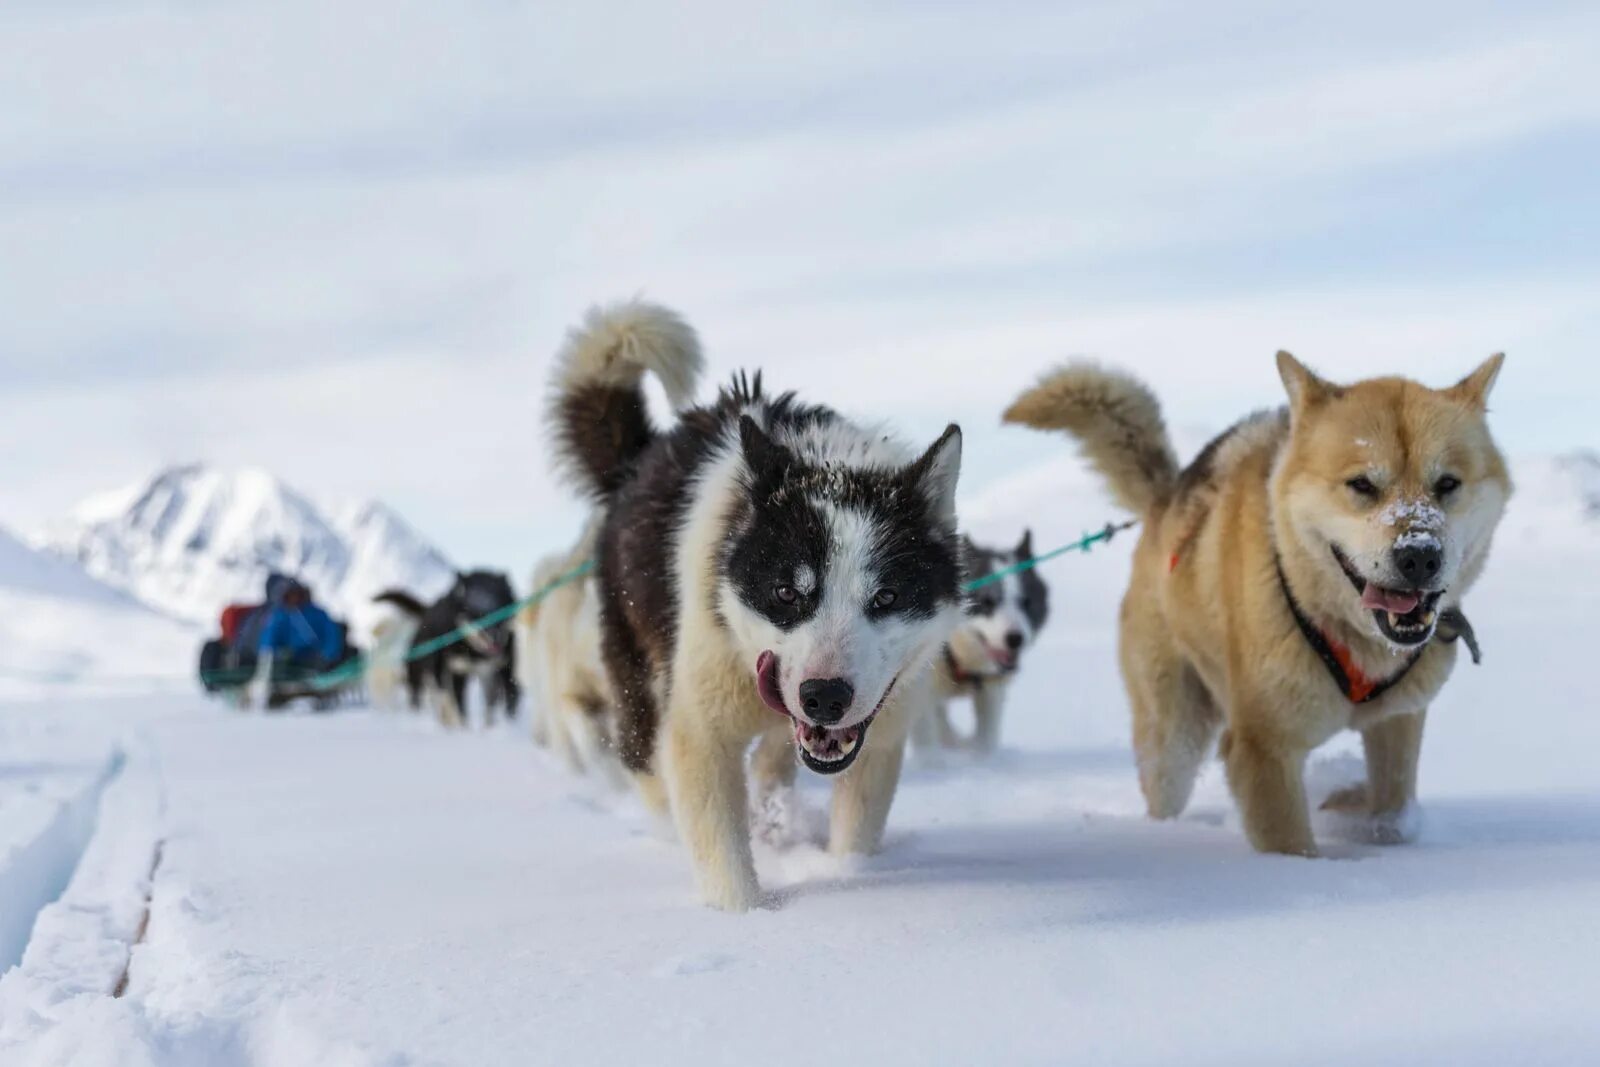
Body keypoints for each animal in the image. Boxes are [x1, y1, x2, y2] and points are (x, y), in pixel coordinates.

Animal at [372, 572, 518, 729]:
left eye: (500, 609)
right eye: (475, 615)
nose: (495, 638)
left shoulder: (490, 672)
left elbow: (490, 708)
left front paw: (489, 729)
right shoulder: (457, 671)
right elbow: (460, 709)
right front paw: (464, 730)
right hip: (427, 674)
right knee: (435, 697)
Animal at [553, 299, 960, 908]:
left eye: (886, 595)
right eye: (786, 592)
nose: (824, 697)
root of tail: (638, 462)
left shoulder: (881, 733)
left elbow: (855, 832)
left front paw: (851, 877)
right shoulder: (701, 732)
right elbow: (723, 859)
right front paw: (747, 918)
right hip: (638, 685)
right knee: (646, 764)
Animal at [1004, 355, 1504, 857]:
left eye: (1447, 484)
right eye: (1362, 484)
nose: (1419, 555)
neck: (1346, 633)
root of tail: (1166, 498)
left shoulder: (1396, 722)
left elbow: (1395, 816)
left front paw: (1351, 804)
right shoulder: (1264, 749)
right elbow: (1290, 845)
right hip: (1174, 741)